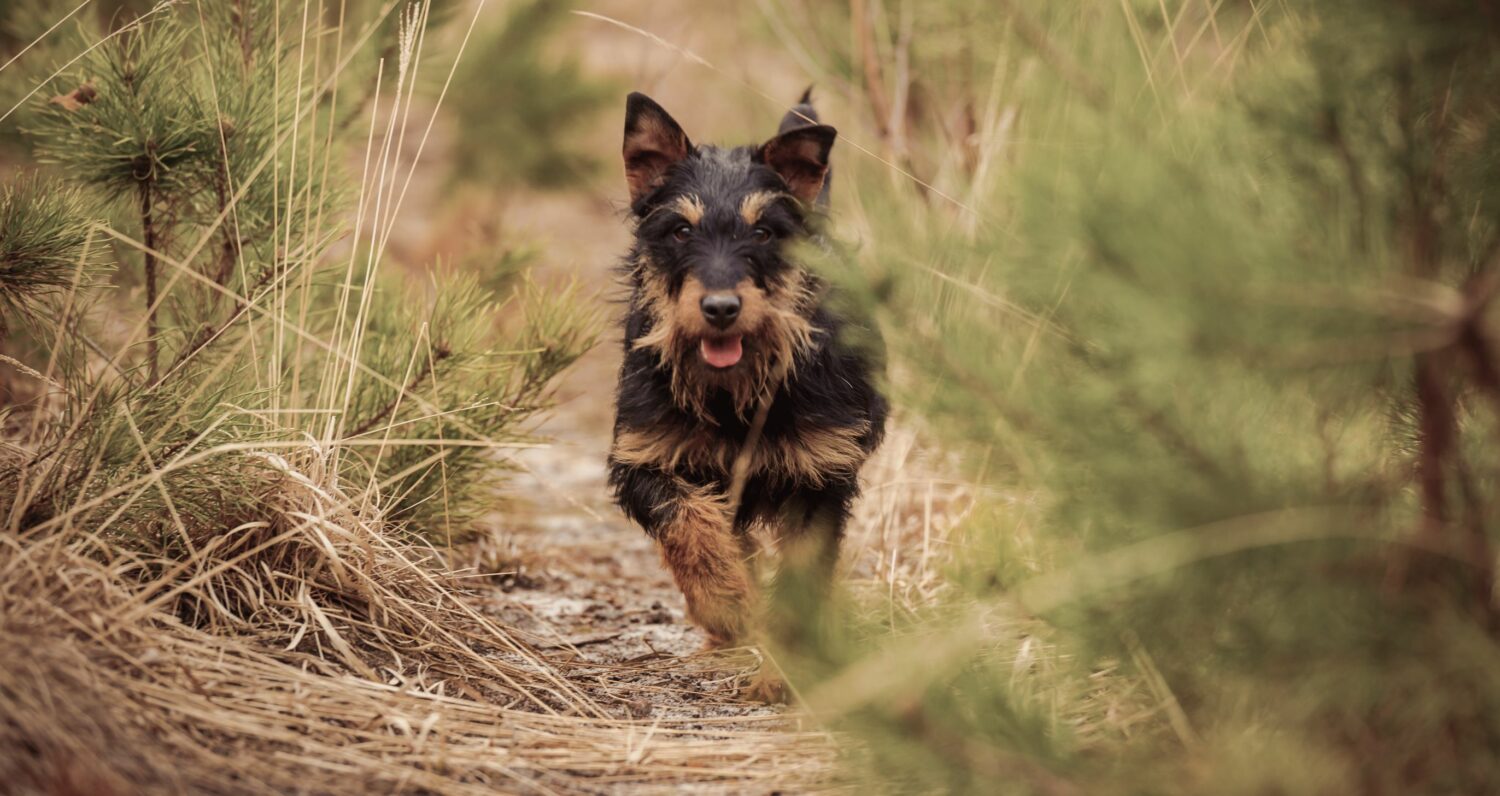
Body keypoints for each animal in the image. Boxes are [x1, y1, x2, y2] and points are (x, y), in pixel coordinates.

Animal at [609, 90, 882, 695]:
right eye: (680, 231)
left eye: (763, 232)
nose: (720, 309)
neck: (732, 393)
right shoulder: (642, 458)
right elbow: (689, 525)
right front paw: (726, 604)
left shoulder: (820, 477)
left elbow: (801, 576)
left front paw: (785, 668)